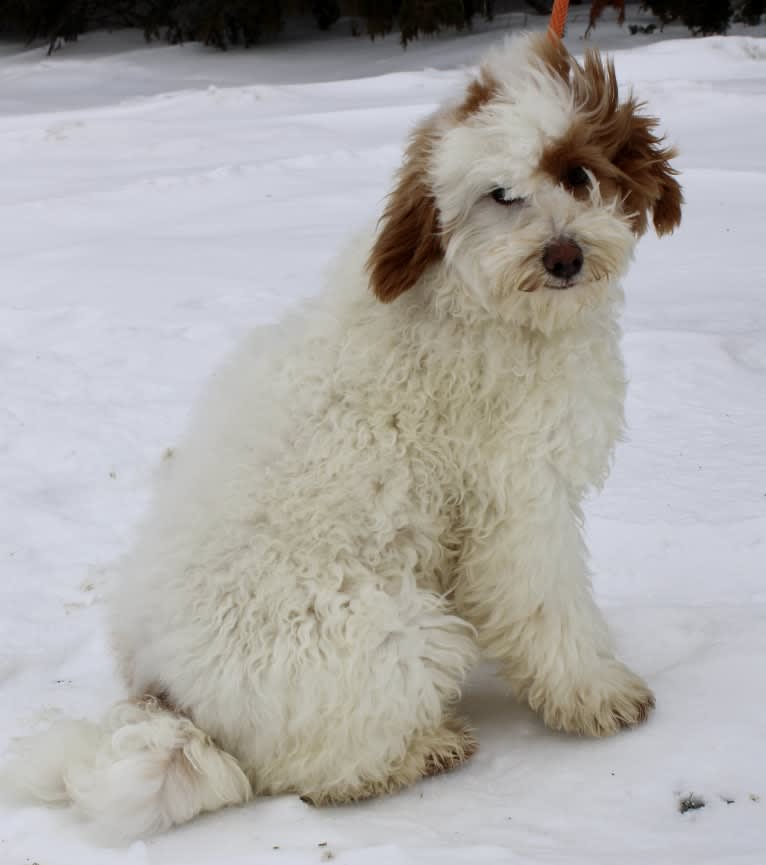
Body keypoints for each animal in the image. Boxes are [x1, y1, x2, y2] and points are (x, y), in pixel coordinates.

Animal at [7, 32, 684, 836]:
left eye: (577, 172)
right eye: (500, 195)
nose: (563, 256)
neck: (480, 301)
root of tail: (170, 698)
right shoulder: (518, 502)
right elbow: (549, 607)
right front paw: (597, 694)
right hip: (394, 627)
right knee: (309, 774)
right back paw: (419, 751)